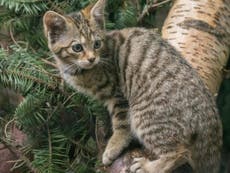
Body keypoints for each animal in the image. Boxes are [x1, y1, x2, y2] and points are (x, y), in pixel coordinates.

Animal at [42, 0, 222, 172]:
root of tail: (209, 117)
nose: (92, 58)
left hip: (145, 114)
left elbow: (121, 124)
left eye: (97, 44)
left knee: (181, 153)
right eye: (77, 48)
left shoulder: (117, 93)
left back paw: (150, 167)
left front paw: (113, 147)